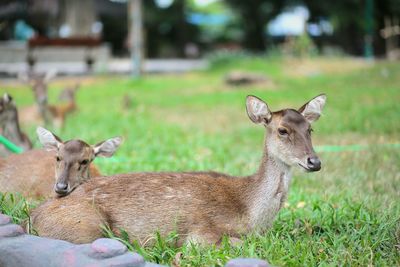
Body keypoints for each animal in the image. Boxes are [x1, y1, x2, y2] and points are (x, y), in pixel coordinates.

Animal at [30, 94, 324, 247]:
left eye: (310, 129)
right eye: (282, 130)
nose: (314, 162)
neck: (249, 214)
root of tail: (32, 218)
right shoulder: (201, 234)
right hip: (86, 226)